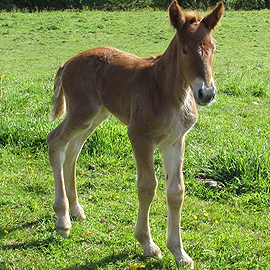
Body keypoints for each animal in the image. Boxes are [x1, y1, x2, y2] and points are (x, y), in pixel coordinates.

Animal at [47, 0, 225, 268]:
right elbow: (147, 187)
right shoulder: (140, 136)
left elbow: (176, 191)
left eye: (212, 47)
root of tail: (67, 62)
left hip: (95, 115)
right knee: (55, 141)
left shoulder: (174, 141)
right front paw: (147, 244)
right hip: (83, 112)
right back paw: (63, 220)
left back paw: (76, 210)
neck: (168, 91)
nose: (206, 93)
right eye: (184, 50)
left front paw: (179, 253)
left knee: (73, 151)